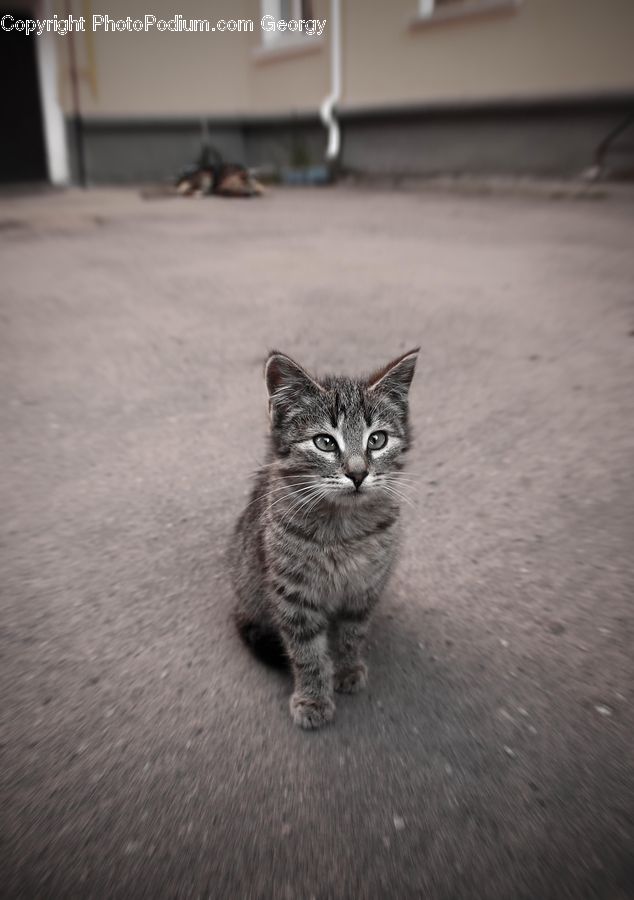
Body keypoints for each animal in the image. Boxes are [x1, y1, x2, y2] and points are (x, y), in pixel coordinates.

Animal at [230, 348, 418, 728]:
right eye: (325, 442)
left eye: (377, 439)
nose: (358, 473)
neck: (343, 529)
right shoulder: (293, 594)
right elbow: (306, 652)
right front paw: (313, 698)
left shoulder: (364, 587)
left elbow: (352, 634)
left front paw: (347, 669)